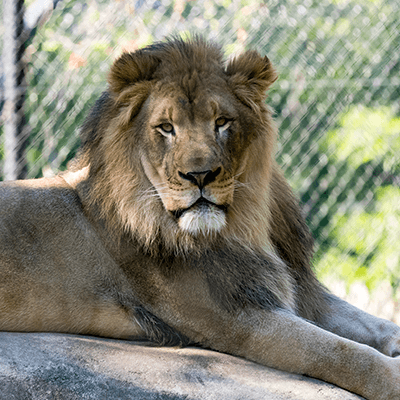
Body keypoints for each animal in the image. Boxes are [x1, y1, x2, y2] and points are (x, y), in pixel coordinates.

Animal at [0, 36, 400, 396]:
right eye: (166, 127)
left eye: (222, 122)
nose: (200, 175)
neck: (245, 225)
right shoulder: (239, 319)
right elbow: (342, 353)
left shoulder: (297, 290)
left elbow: (376, 326)